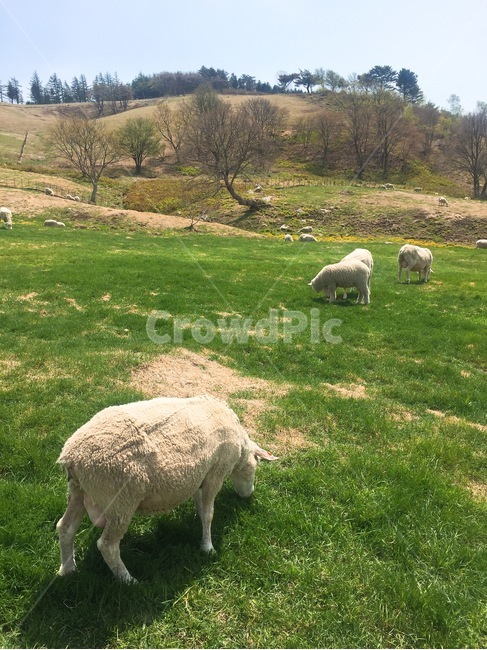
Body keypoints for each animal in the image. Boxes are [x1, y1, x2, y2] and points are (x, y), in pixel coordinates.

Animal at [56, 394, 277, 583]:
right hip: (120, 500)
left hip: (78, 491)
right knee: (108, 546)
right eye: (256, 464)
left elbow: (201, 509)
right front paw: (208, 547)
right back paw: (128, 580)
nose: (248, 495)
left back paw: (67, 569)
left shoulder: (201, 476)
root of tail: (72, 455)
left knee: (65, 528)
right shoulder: (216, 473)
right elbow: (208, 514)